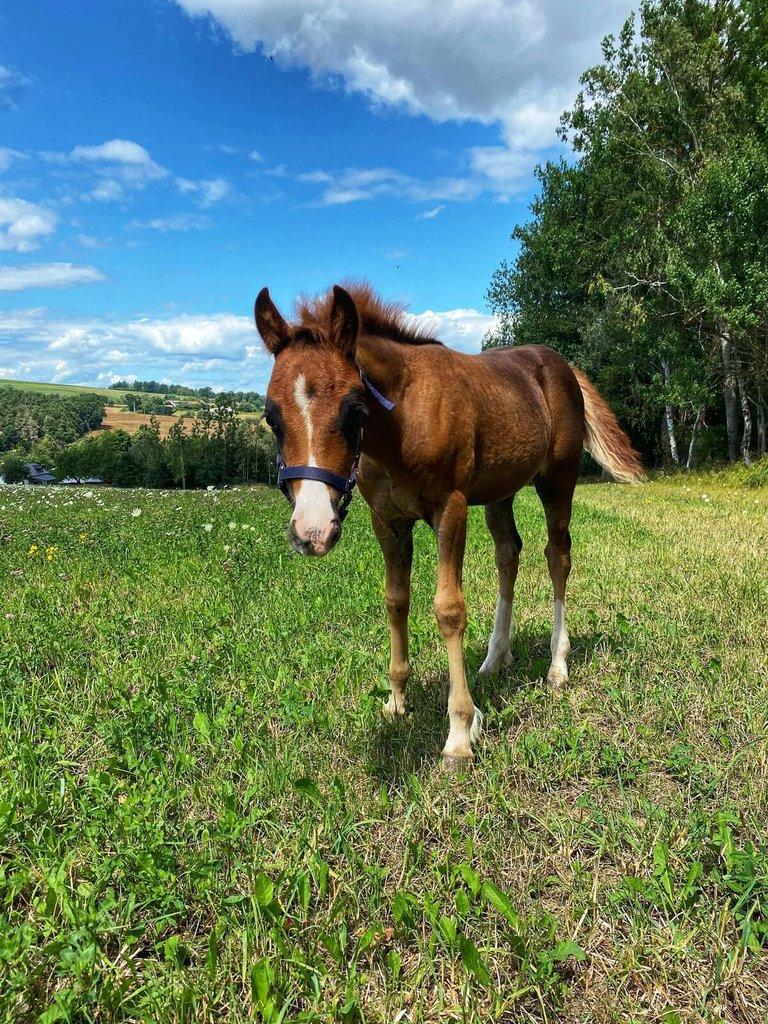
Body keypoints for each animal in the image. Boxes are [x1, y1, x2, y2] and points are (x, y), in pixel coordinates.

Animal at [255, 283, 644, 767]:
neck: (403, 419)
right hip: (500, 492)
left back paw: (557, 666)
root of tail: (564, 366)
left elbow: (449, 609)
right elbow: (396, 600)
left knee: (558, 556)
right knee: (508, 554)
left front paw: (459, 731)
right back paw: (495, 659)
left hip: (558, 481)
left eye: (355, 412)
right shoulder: (388, 521)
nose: (313, 532)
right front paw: (397, 699)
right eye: (271, 417)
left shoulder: (451, 509)